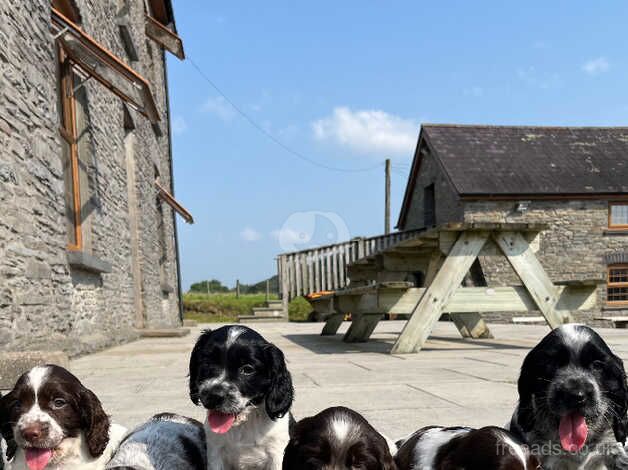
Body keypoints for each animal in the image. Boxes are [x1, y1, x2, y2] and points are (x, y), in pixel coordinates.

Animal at [189, 326, 294, 470]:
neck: (243, 425)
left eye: (247, 369)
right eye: (207, 363)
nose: (213, 396)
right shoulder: (215, 451)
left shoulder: (275, 453)